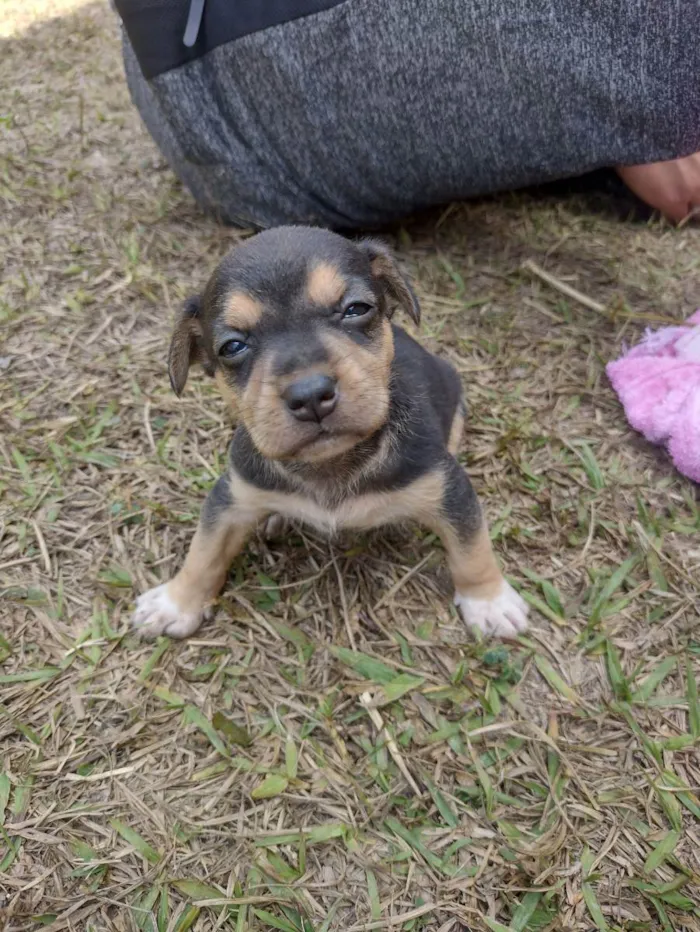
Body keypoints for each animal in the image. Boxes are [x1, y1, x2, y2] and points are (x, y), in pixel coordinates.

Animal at [131, 226, 528, 640]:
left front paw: (489, 601)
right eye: (232, 346)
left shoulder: (449, 490)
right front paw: (176, 602)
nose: (310, 396)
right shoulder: (231, 497)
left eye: (355, 308)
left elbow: (472, 549)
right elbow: (204, 550)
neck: (329, 461)